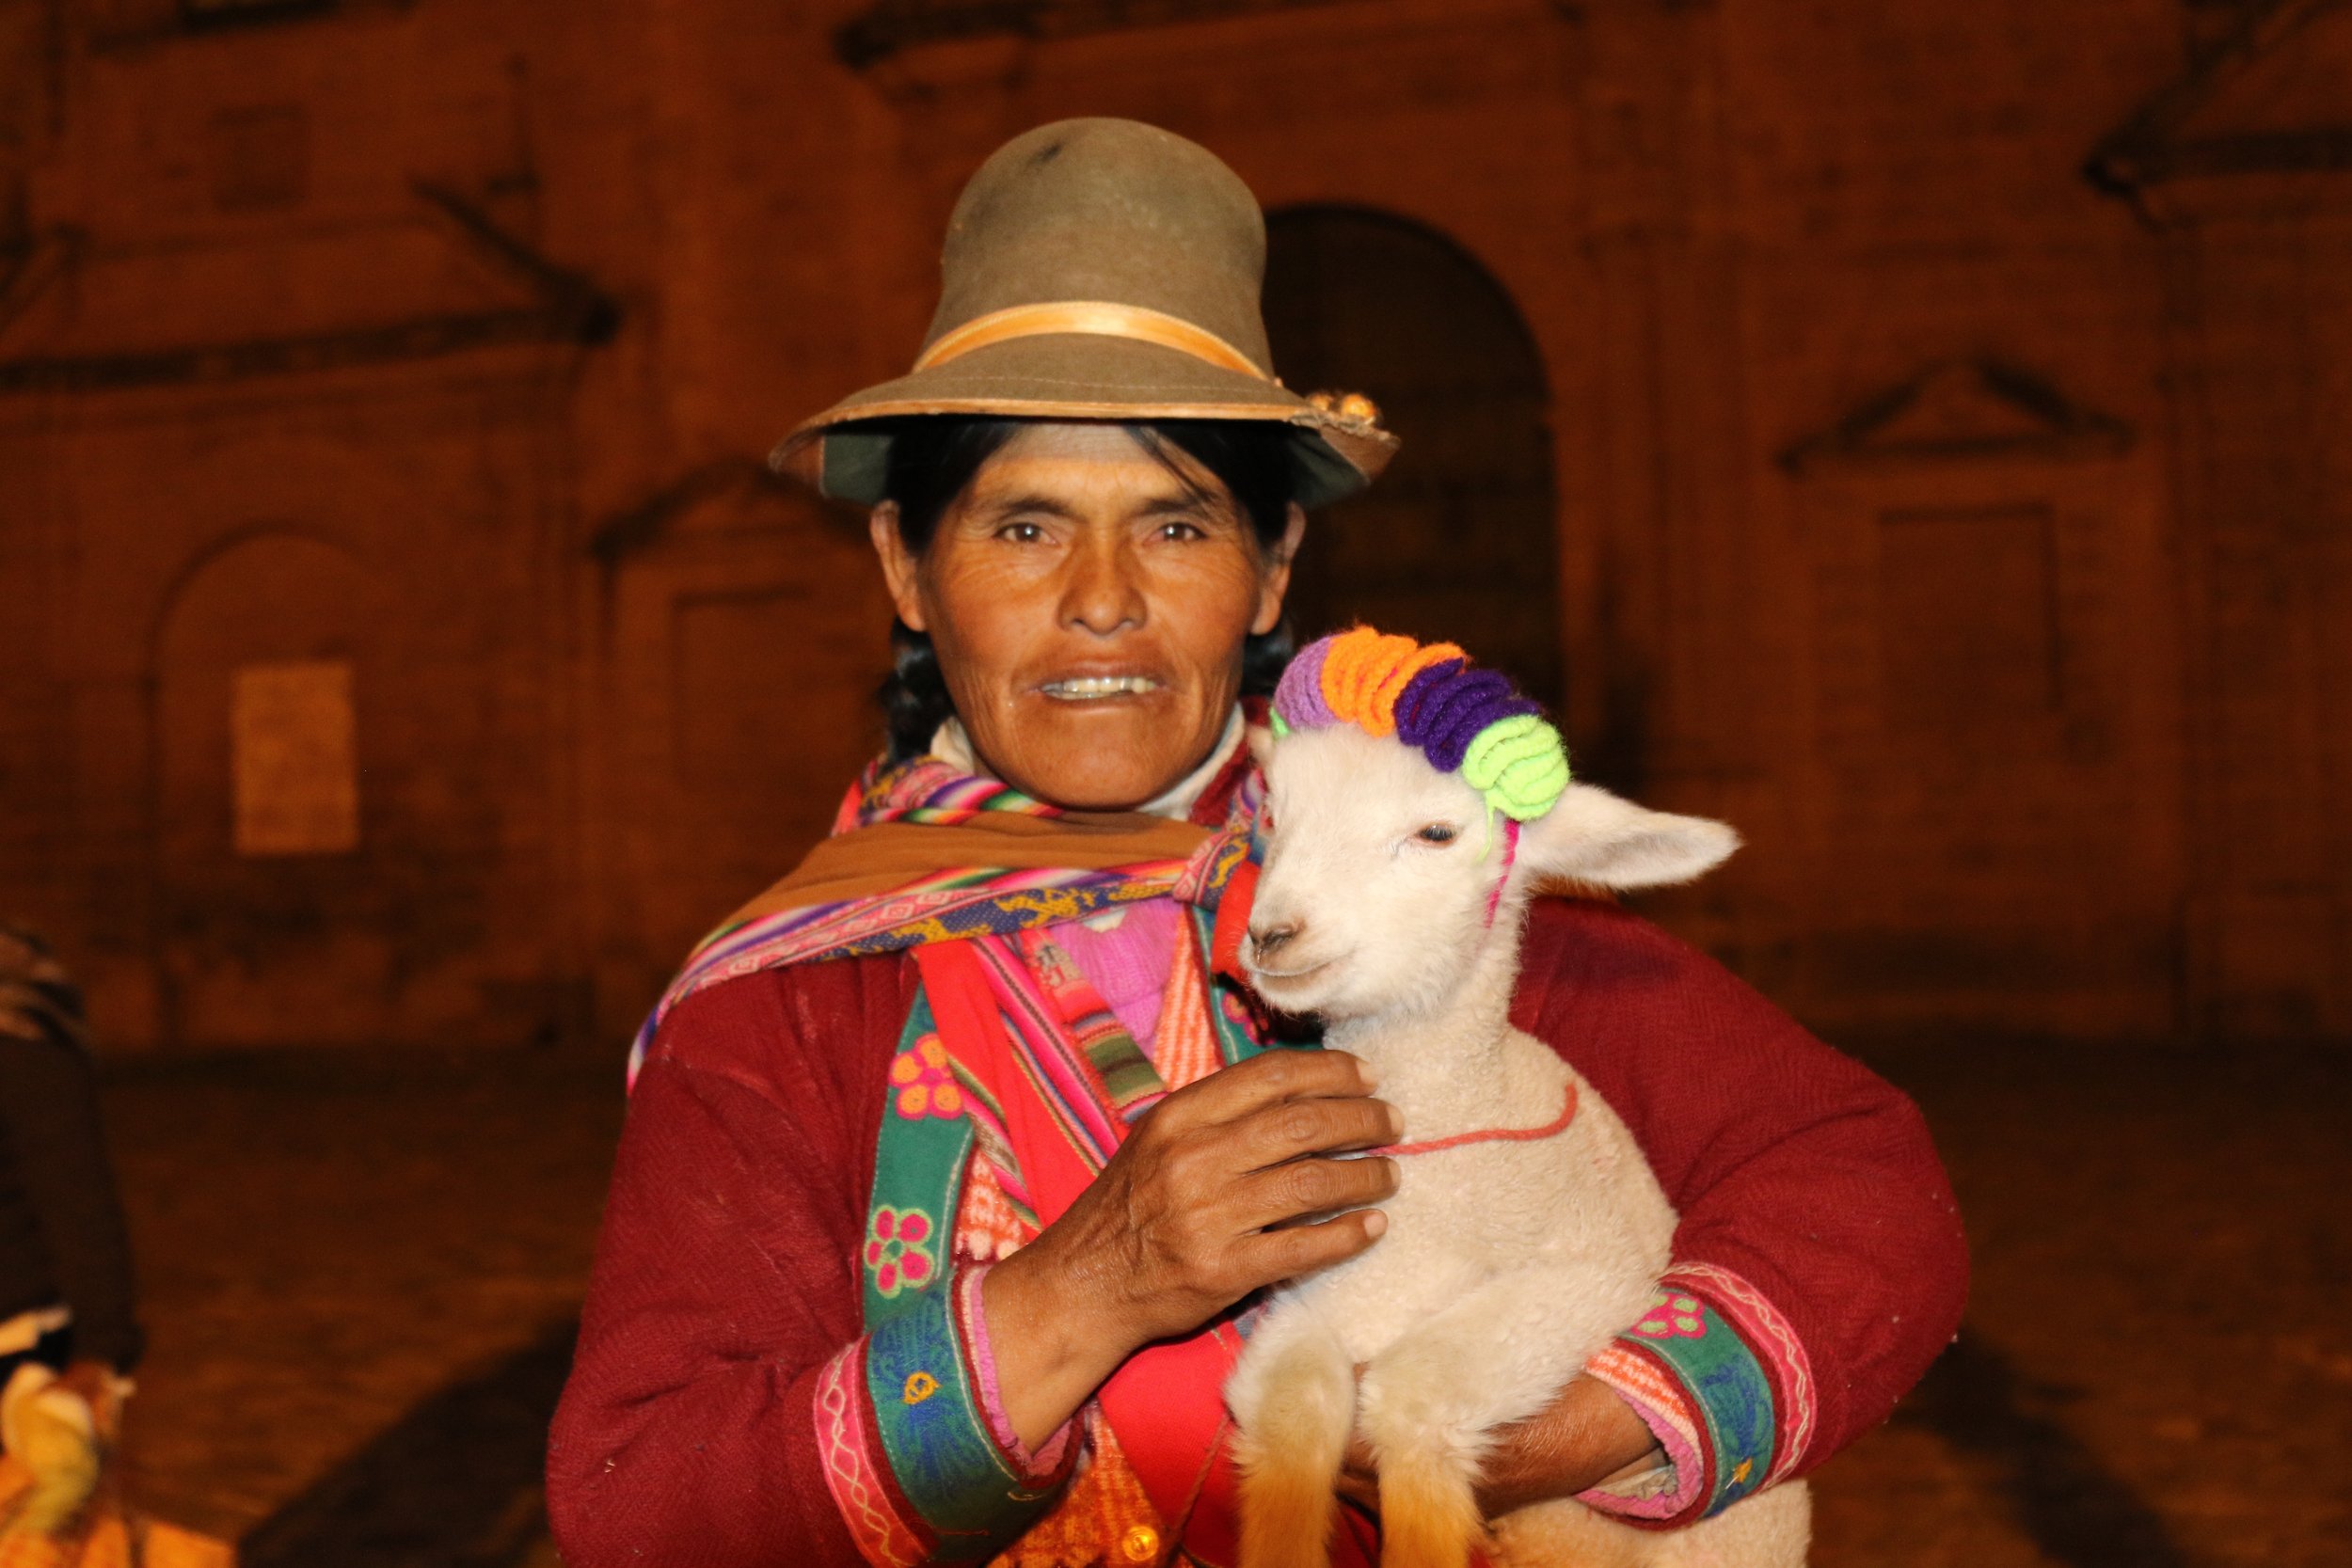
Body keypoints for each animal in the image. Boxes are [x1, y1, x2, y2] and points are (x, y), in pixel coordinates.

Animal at [1224, 630, 1810, 1568]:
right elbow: (1293, 1411)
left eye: (1435, 832)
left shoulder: (1592, 1280)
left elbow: (1413, 1397)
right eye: (1272, 811)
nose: (1274, 933)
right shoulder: (1318, 1298)